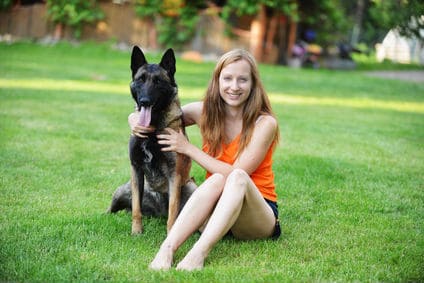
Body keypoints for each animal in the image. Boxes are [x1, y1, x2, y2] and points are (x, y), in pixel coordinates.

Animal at [109, 46, 192, 235]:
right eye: (141, 80)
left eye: (158, 82)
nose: (144, 101)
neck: (152, 129)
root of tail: (158, 213)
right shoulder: (136, 169)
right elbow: (136, 208)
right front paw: (136, 231)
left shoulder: (174, 174)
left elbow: (173, 212)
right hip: (123, 189)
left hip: (191, 187)